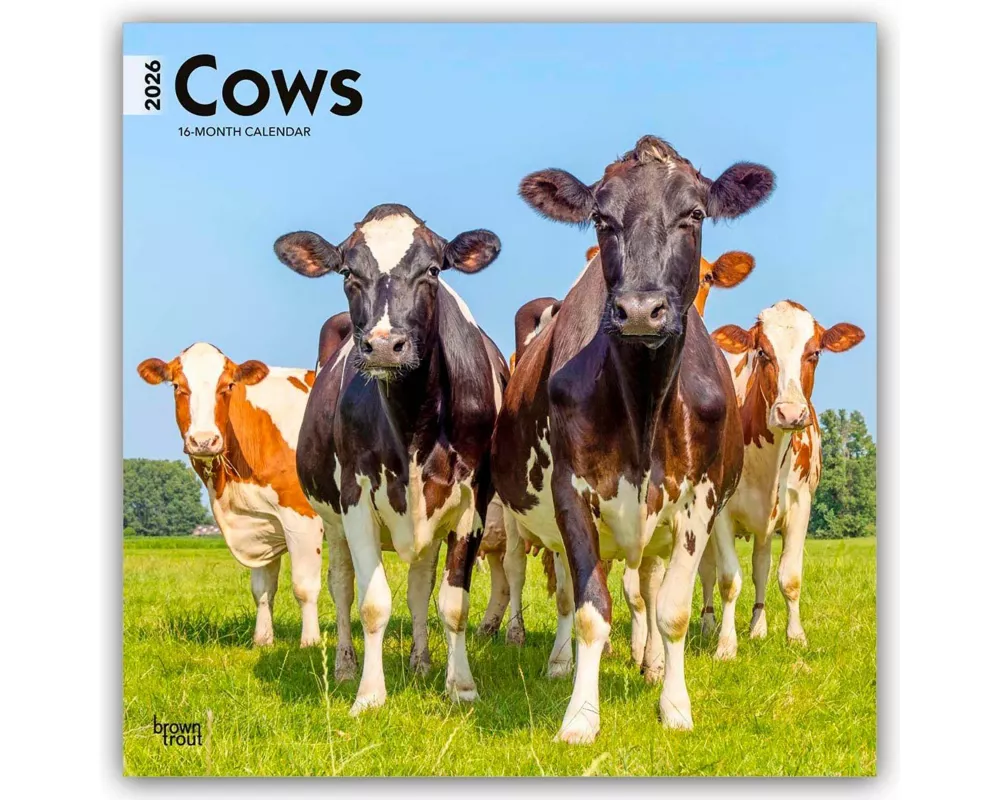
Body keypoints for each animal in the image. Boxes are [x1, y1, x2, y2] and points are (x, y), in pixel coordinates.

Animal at [136, 343, 324, 648]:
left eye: (227, 386)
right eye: (177, 386)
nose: (203, 440)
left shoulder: (302, 517)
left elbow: (304, 587)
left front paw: (310, 643)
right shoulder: (261, 522)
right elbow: (262, 589)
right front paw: (262, 640)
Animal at [273, 203, 508, 716]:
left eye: (433, 270)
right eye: (347, 272)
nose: (383, 345)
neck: (414, 421)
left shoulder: (472, 501)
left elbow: (452, 603)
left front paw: (461, 686)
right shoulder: (356, 497)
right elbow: (372, 603)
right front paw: (368, 694)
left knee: (420, 586)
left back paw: (421, 662)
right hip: (332, 520)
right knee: (341, 586)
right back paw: (344, 666)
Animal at [492, 135, 774, 743]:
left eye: (695, 214)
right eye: (601, 218)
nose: (641, 310)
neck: (644, 405)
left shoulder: (699, 499)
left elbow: (672, 609)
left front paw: (675, 706)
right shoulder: (573, 494)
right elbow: (590, 609)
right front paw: (580, 716)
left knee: (647, 583)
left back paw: (652, 664)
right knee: (565, 590)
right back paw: (559, 662)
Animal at [700, 301, 865, 658]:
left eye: (814, 353)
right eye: (762, 352)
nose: (790, 413)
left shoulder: (801, 504)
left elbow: (788, 576)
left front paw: (795, 637)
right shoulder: (721, 510)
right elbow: (728, 579)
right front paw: (725, 646)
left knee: (761, 567)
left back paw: (757, 626)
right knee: (707, 571)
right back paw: (708, 624)